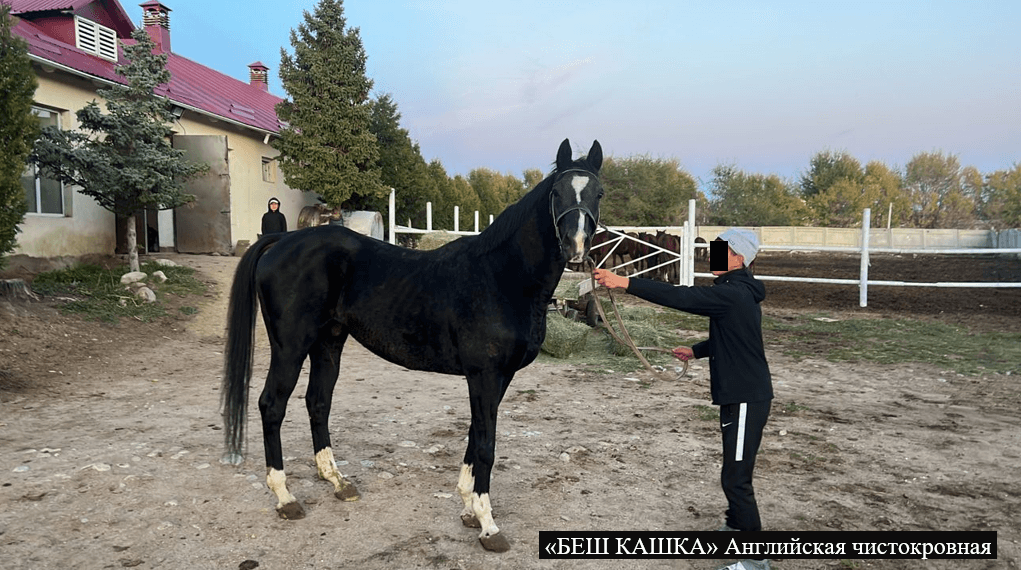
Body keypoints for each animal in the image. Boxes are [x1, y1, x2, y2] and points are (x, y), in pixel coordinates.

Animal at [220, 138, 600, 555]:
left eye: (597, 193)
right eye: (556, 193)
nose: (576, 247)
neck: (502, 277)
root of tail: (282, 241)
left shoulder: (498, 378)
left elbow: (474, 434)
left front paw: (468, 508)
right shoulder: (484, 375)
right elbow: (486, 443)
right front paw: (488, 525)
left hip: (328, 342)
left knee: (317, 403)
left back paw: (337, 481)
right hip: (290, 346)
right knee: (272, 405)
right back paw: (285, 497)